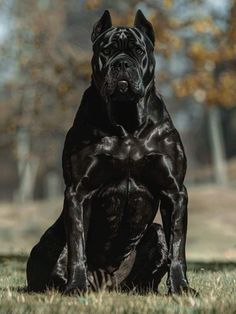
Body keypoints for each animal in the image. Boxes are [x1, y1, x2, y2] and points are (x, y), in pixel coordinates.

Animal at [26, 9, 195, 294]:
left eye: (138, 50)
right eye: (106, 51)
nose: (122, 64)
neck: (126, 123)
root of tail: (107, 283)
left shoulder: (174, 191)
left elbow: (178, 247)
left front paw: (181, 287)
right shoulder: (79, 192)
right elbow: (77, 246)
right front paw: (76, 286)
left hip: (155, 234)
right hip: (51, 241)